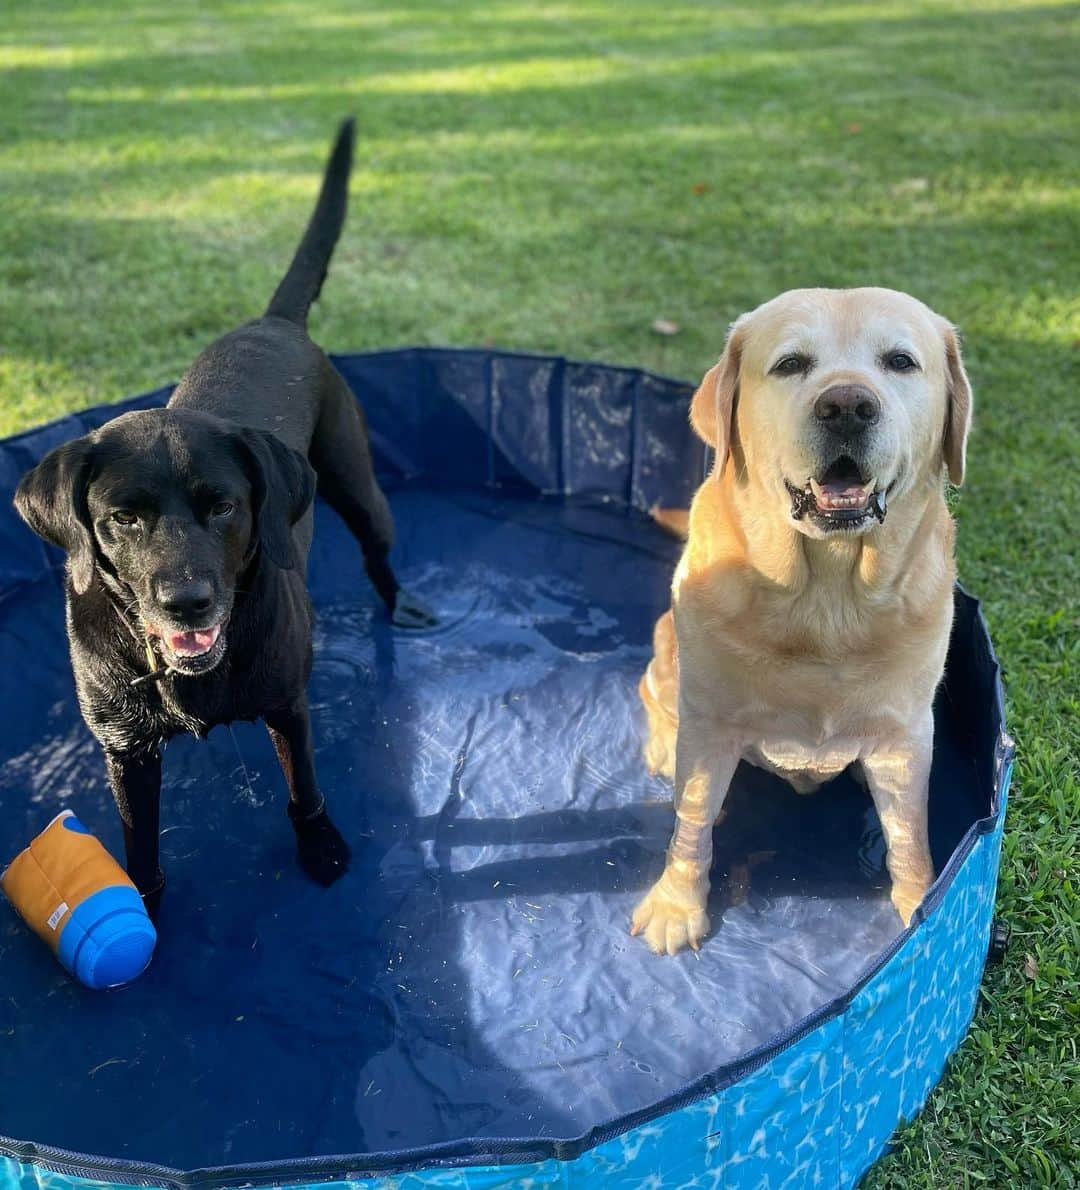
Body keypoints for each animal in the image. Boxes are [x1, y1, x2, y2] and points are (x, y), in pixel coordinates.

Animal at [14, 118, 430, 918]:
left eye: (224, 506)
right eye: (123, 519)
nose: (187, 601)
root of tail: (272, 321)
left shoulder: (288, 705)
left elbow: (304, 790)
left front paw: (321, 848)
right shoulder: (124, 748)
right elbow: (137, 839)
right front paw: (144, 899)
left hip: (356, 480)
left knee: (378, 552)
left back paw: (407, 608)